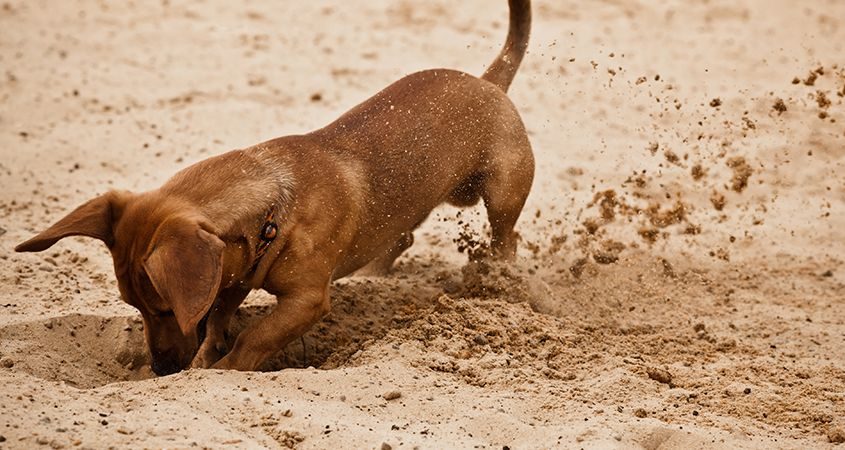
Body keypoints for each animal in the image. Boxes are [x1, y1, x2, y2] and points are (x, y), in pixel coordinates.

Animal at [14, 0, 536, 374]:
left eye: (164, 308)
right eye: (132, 306)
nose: (161, 369)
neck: (275, 204)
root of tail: (489, 81)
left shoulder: (305, 301)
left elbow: (254, 337)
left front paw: (222, 370)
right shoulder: (232, 274)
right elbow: (219, 317)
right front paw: (208, 354)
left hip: (503, 193)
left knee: (505, 239)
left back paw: (500, 281)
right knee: (401, 236)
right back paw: (374, 275)